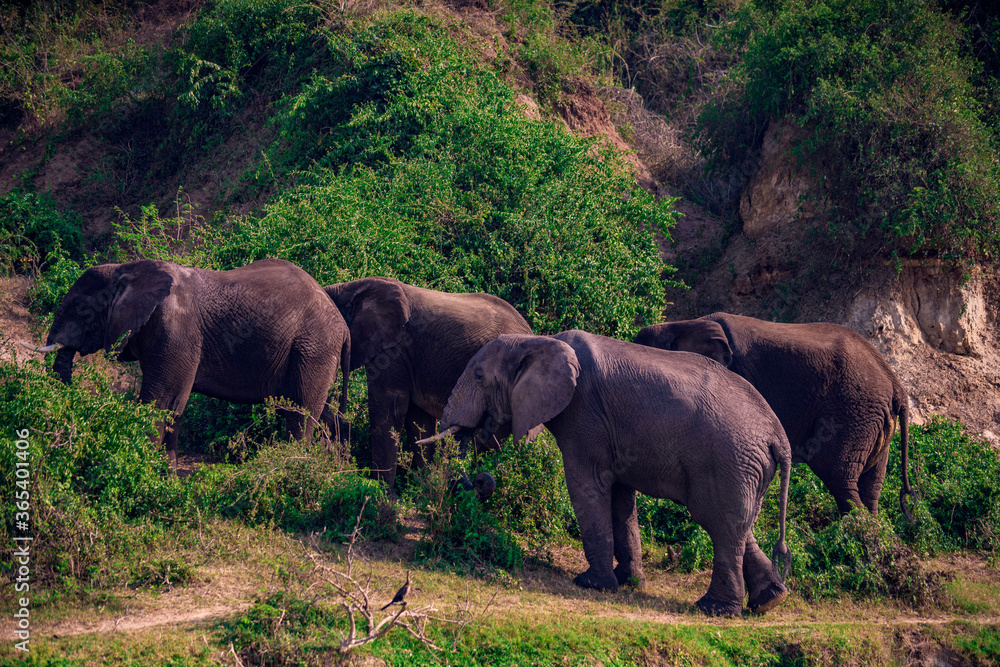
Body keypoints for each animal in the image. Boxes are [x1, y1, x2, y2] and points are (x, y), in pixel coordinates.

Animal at [22, 258, 350, 467]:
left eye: (81, 308)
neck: (127, 269)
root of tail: (343, 325)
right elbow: (174, 406)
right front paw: (165, 480)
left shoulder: (174, 330)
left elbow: (159, 400)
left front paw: (139, 469)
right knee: (318, 414)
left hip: (313, 349)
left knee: (300, 415)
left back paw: (290, 468)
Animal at [324, 277, 532, 492]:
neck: (350, 287)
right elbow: (418, 421)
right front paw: (423, 491)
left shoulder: (395, 350)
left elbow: (389, 410)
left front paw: (382, 494)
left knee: (490, 439)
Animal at [422, 330, 792, 617]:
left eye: (479, 376)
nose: (480, 481)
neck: (537, 341)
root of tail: (779, 437)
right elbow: (620, 498)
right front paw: (628, 582)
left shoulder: (584, 412)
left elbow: (586, 485)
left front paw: (592, 584)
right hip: (744, 467)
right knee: (737, 525)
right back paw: (769, 601)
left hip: (728, 458)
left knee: (719, 524)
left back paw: (714, 609)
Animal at [633, 313, 914, 517]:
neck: (684, 324)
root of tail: (897, 386)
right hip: (873, 420)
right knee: (871, 485)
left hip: (852, 410)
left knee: (837, 474)